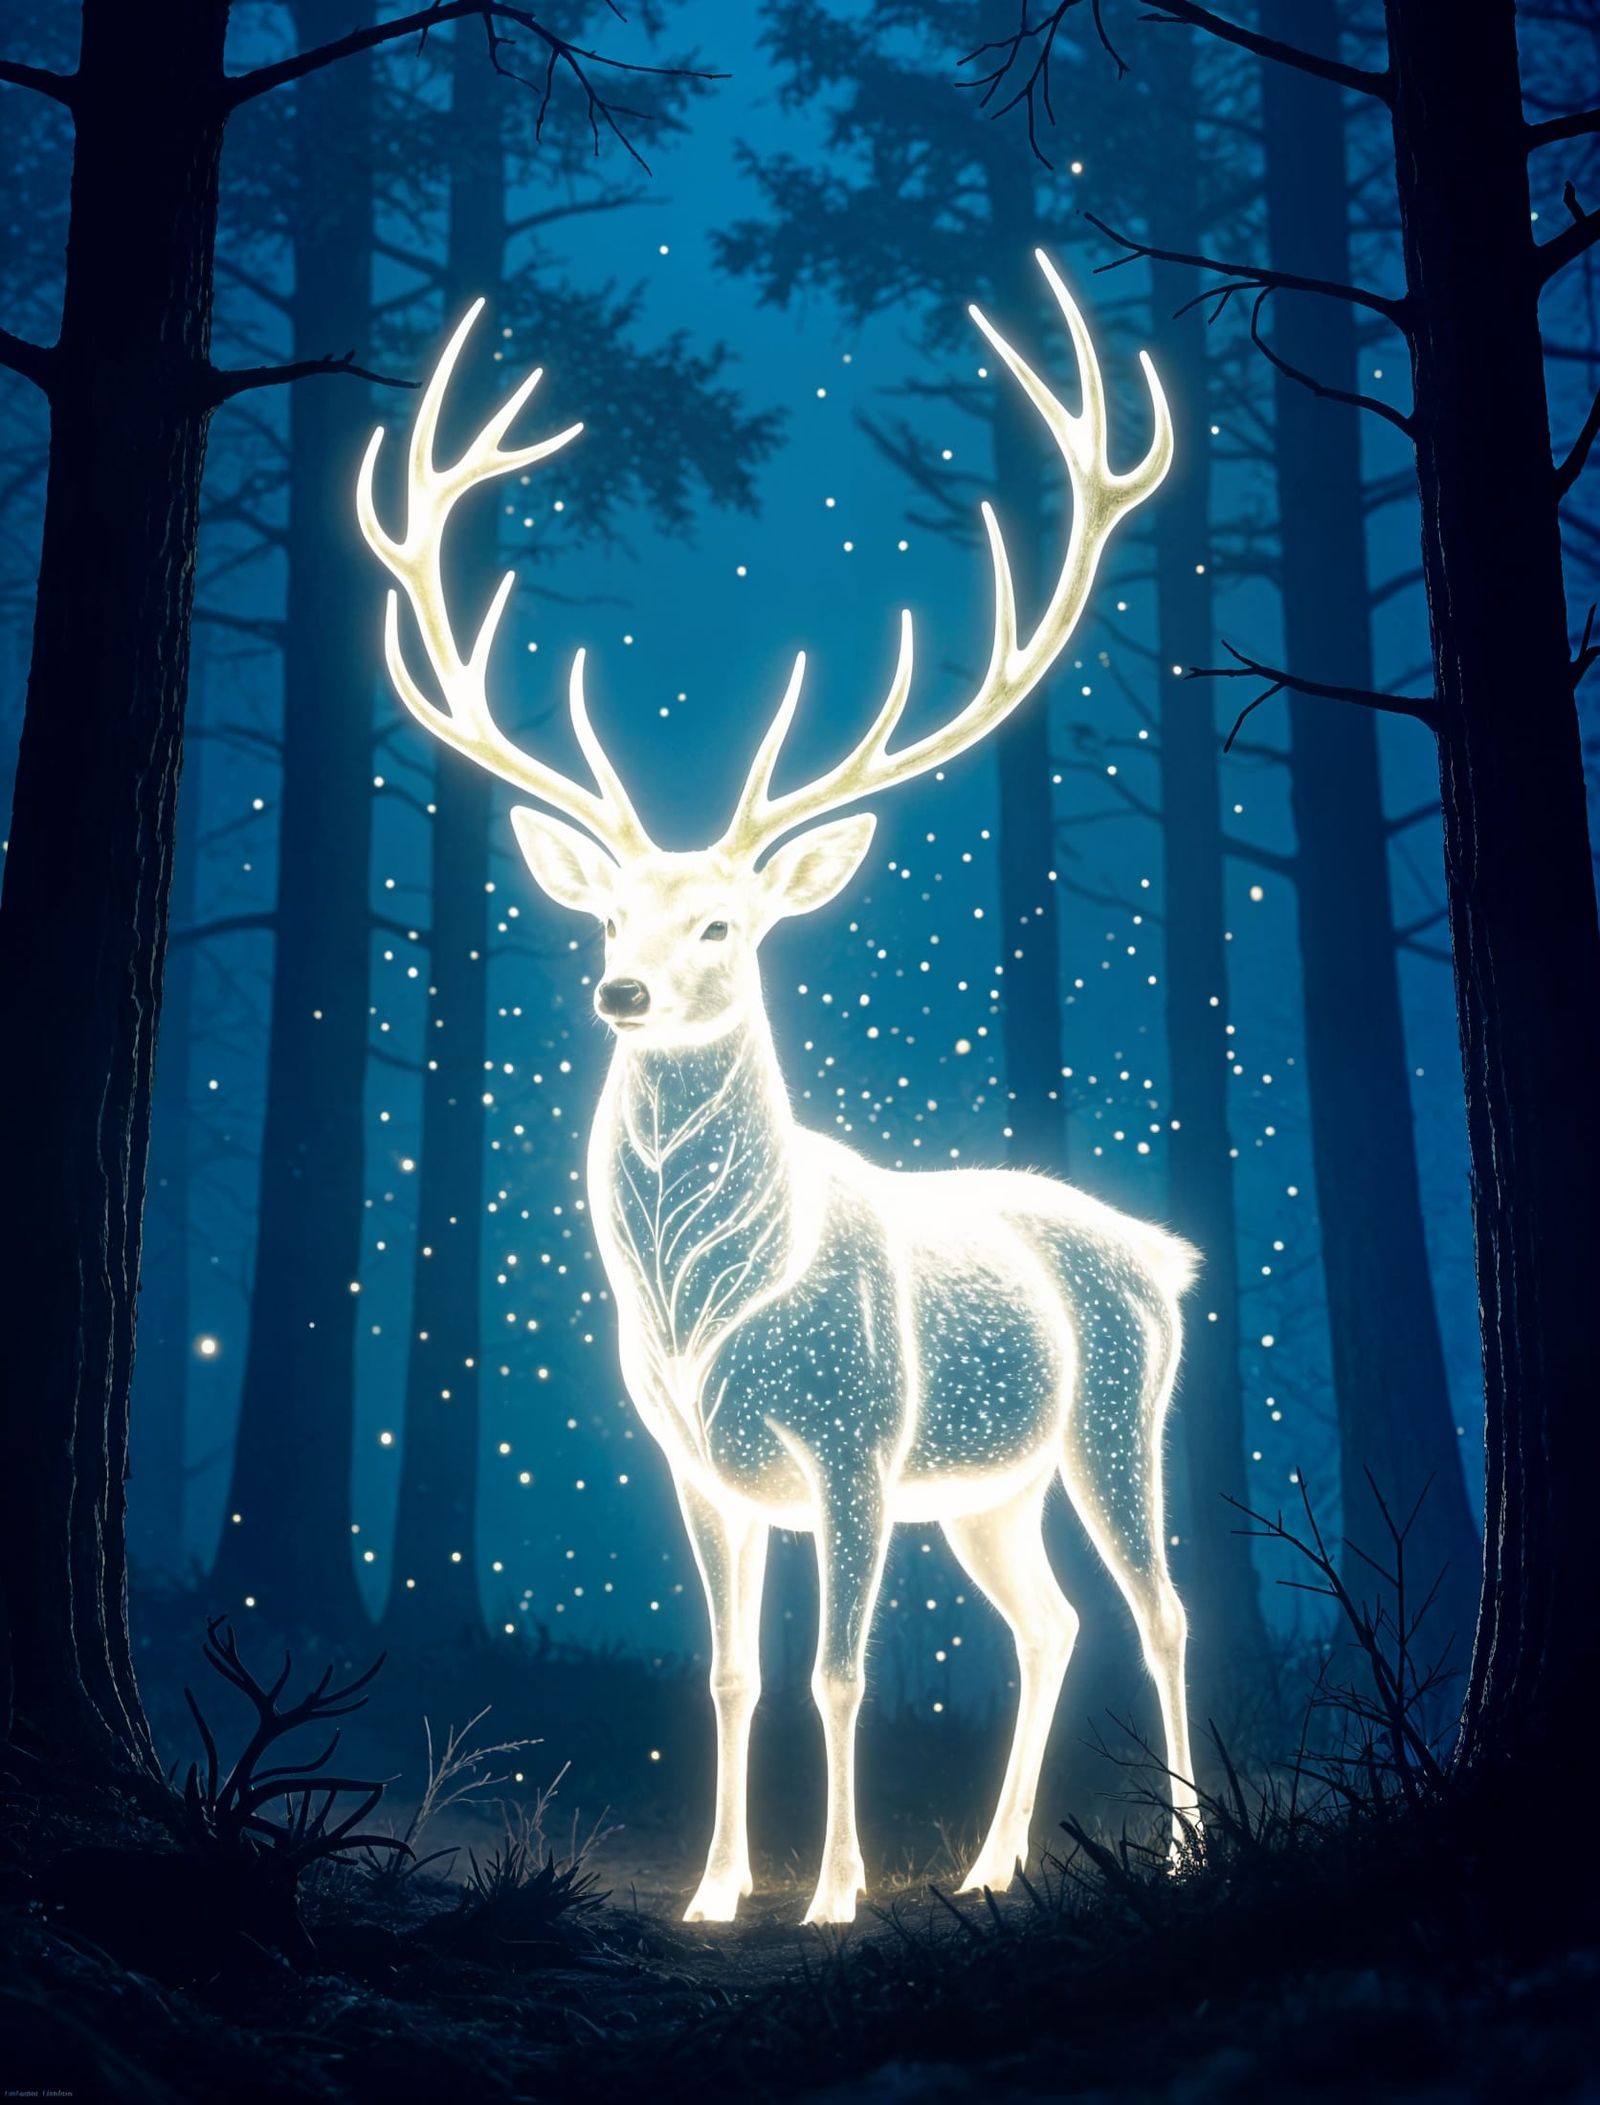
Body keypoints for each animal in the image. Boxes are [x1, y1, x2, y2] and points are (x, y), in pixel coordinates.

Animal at [356, 249, 1199, 1926]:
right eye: (606, 918)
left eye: (724, 928)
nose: (618, 991)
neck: (710, 1309)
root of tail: (1166, 1252)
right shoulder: (701, 1465)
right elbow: (735, 1672)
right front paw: (713, 1888)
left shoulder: (855, 1442)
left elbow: (841, 1671)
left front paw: (828, 1896)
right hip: (991, 1484)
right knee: (1050, 1622)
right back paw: (991, 1864)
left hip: (1111, 1417)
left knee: (1162, 1610)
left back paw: (1191, 1845)